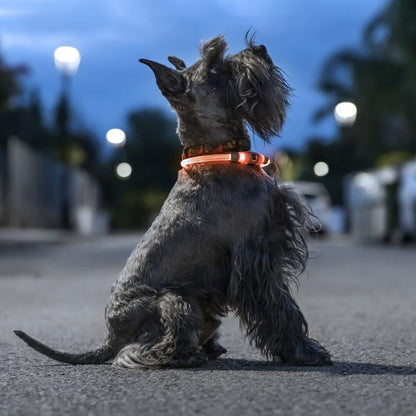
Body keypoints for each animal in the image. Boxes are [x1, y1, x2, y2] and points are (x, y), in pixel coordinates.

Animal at [15, 34, 332, 368]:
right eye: (214, 64)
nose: (260, 49)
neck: (216, 153)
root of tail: (111, 337)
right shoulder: (255, 258)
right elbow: (280, 309)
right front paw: (303, 351)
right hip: (176, 300)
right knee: (143, 349)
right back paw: (183, 355)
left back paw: (209, 348)